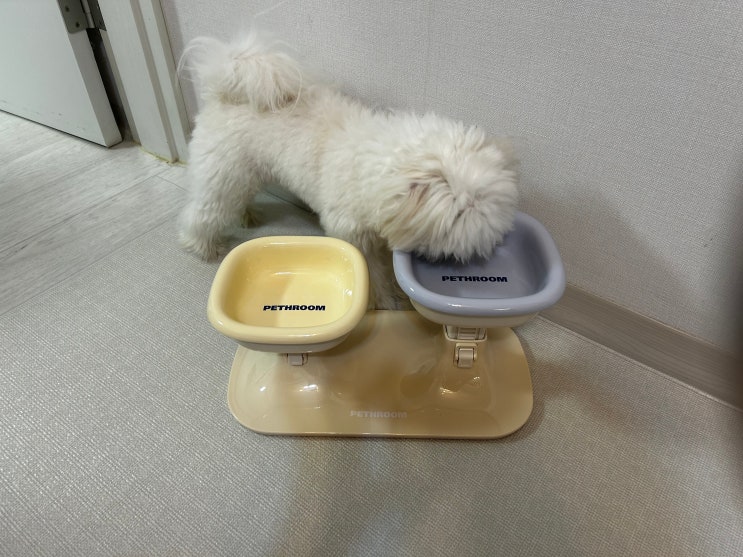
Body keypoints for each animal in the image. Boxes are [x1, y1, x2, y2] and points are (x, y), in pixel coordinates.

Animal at [178, 34, 518, 309]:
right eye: (461, 214)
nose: (484, 250)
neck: (377, 161)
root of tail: (222, 94)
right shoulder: (353, 235)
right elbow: (371, 274)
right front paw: (383, 301)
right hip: (222, 173)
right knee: (203, 212)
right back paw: (205, 247)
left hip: (243, 173)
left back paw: (247, 216)